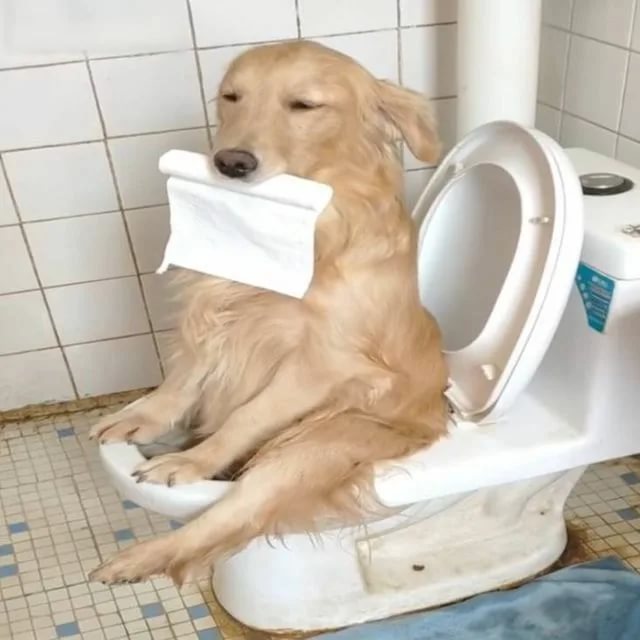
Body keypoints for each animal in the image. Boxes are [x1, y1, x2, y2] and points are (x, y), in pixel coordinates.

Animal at [89, 40, 448, 585]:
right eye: (231, 96)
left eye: (304, 105)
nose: (230, 162)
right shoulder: (211, 304)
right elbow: (185, 376)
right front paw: (144, 415)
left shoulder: (322, 362)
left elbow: (245, 415)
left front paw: (195, 460)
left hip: (316, 444)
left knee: (229, 514)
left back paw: (145, 551)